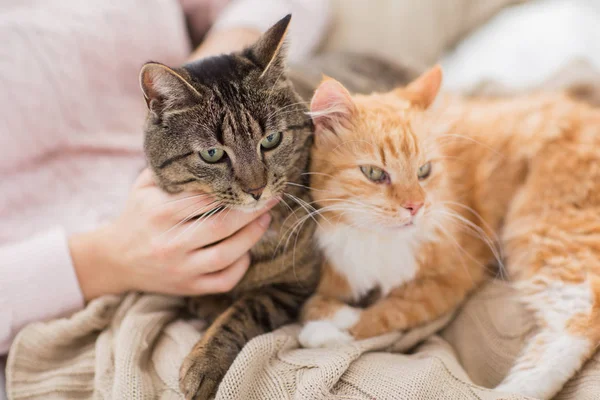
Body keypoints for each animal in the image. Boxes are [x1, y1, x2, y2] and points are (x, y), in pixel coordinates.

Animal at [140, 16, 322, 400]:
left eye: (271, 140)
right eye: (212, 154)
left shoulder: (294, 286)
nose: (256, 190)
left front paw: (205, 361)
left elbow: (242, 312)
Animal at [298, 64, 600, 398]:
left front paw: (326, 330)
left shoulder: (448, 282)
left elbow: (385, 314)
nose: (416, 206)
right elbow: (316, 303)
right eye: (374, 173)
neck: (378, 238)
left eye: (423, 171)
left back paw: (512, 391)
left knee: (577, 320)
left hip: (542, 227)